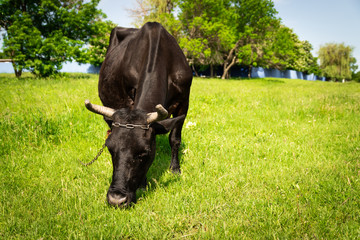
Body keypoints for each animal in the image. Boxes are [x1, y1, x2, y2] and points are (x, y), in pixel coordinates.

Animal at [84, 21, 193, 207]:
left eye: (144, 152)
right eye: (110, 150)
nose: (116, 199)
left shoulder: (184, 101)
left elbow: (174, 139)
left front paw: (175, 169)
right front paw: (143, 183)